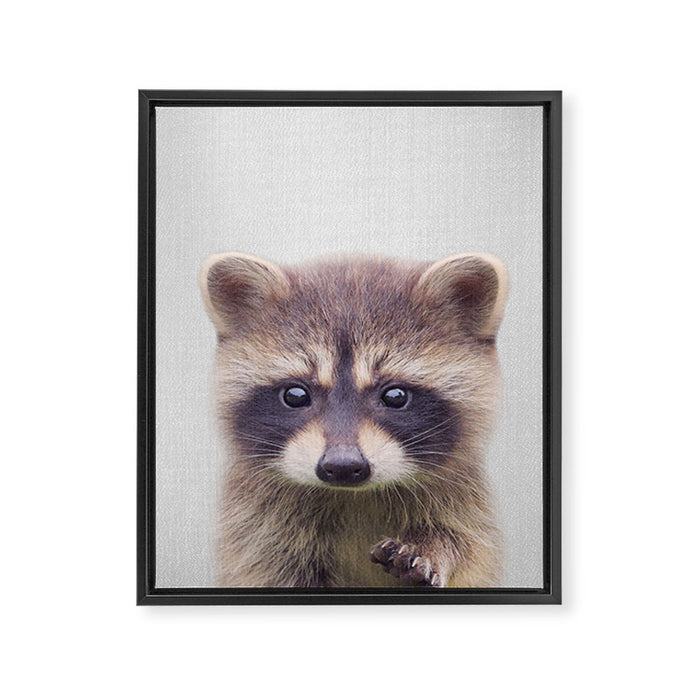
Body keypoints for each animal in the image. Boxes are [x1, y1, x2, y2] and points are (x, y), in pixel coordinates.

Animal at [199, 251, 508, 588]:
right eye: (295, 395)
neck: (353, 496)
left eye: (395, 396)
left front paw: (433, 546)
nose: (343, 466)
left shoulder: (465, 503)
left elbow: (465, 544)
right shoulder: (257, 527)